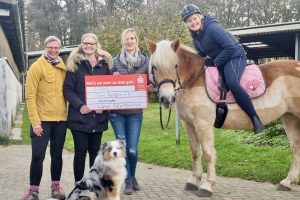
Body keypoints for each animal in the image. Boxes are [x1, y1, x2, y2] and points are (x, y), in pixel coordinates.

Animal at [146, 38, 300, 197]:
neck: (194, 80)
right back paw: (287, 182)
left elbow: (208, 153)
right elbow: (195, 152)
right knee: (296, 147)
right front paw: (194, 180)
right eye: (154, 67)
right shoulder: (188, 124)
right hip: (289, 117)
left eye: (175, 65)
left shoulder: (203, 124)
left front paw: (207, 185)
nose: (167, 99)